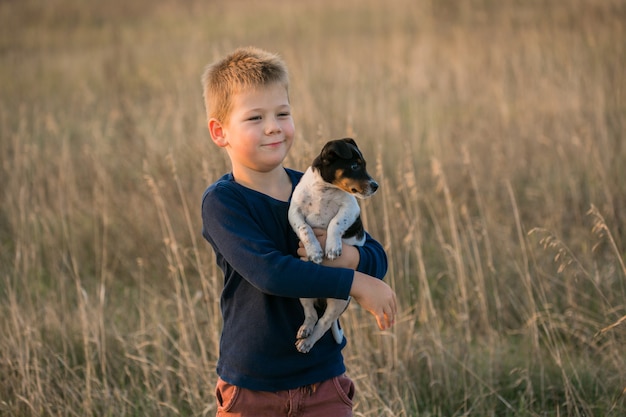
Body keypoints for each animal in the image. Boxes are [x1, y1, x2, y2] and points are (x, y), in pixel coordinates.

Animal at [286, 138, 376, 352]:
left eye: (364, 164)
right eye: (354, 166)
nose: (376, 186)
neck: (324, 190)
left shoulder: (350, 208)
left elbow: (335, 223)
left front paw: (332, 248)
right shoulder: (294, 212)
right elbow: (305, 229)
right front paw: (315, 252)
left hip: (338, 302)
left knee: (324, 323)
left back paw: (307, 343)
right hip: (302, 290)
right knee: (311, 315)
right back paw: (305, 331)